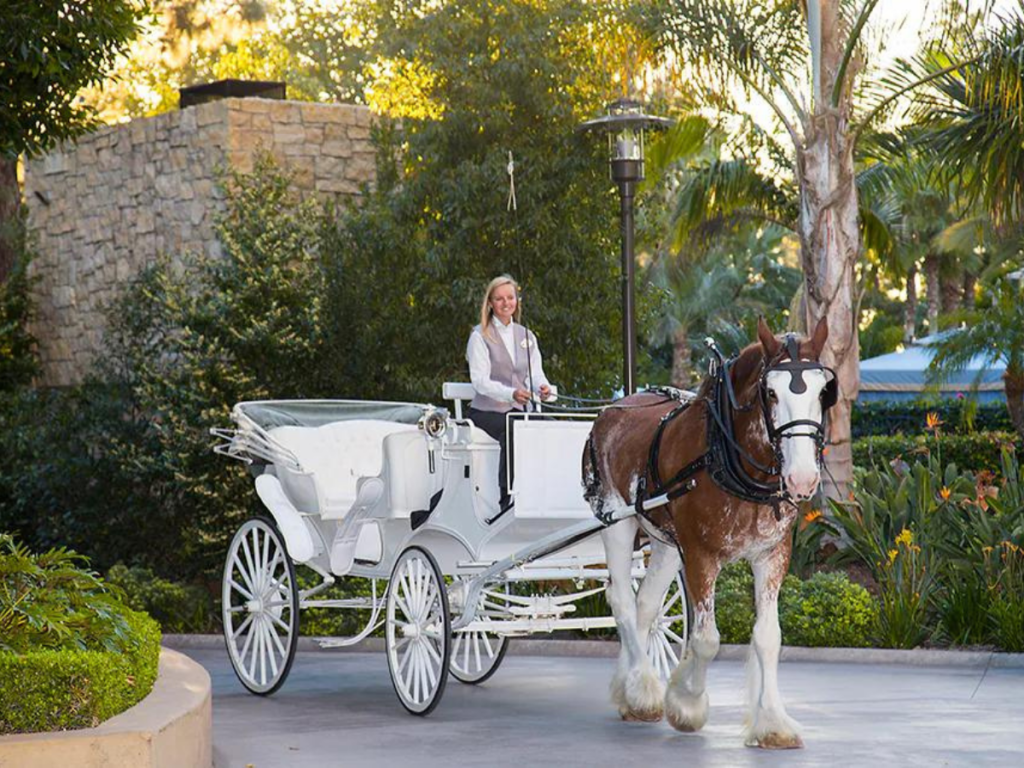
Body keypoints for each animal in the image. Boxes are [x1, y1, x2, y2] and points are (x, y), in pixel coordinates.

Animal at [585, 319, 831, 753]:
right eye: (771, 393)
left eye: (822, 392)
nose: (802, 479)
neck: (726, 456)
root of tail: (612, 409)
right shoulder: (700, 555)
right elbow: (706, 640)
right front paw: (686, 702)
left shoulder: (772, 555)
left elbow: (768, 636)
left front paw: (772, 723)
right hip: (616, 523)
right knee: (622, 600)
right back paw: (643, 689)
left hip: (665, 543)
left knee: (645, 606)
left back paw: (629, 688)